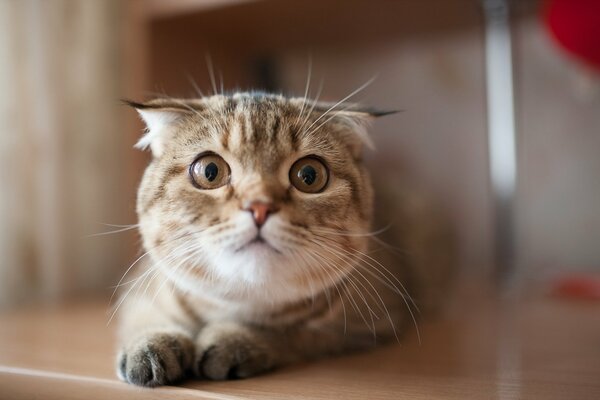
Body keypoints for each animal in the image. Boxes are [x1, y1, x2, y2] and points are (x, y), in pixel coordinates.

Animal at [115, 92, 454, 386]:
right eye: (210, 171)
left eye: (309, 175)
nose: (259, 206)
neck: (240, 301)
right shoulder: (138, 291)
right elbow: (145, 317)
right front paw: (151, 343)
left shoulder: (371, 323)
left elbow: (291, 332)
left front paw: (237, 338)